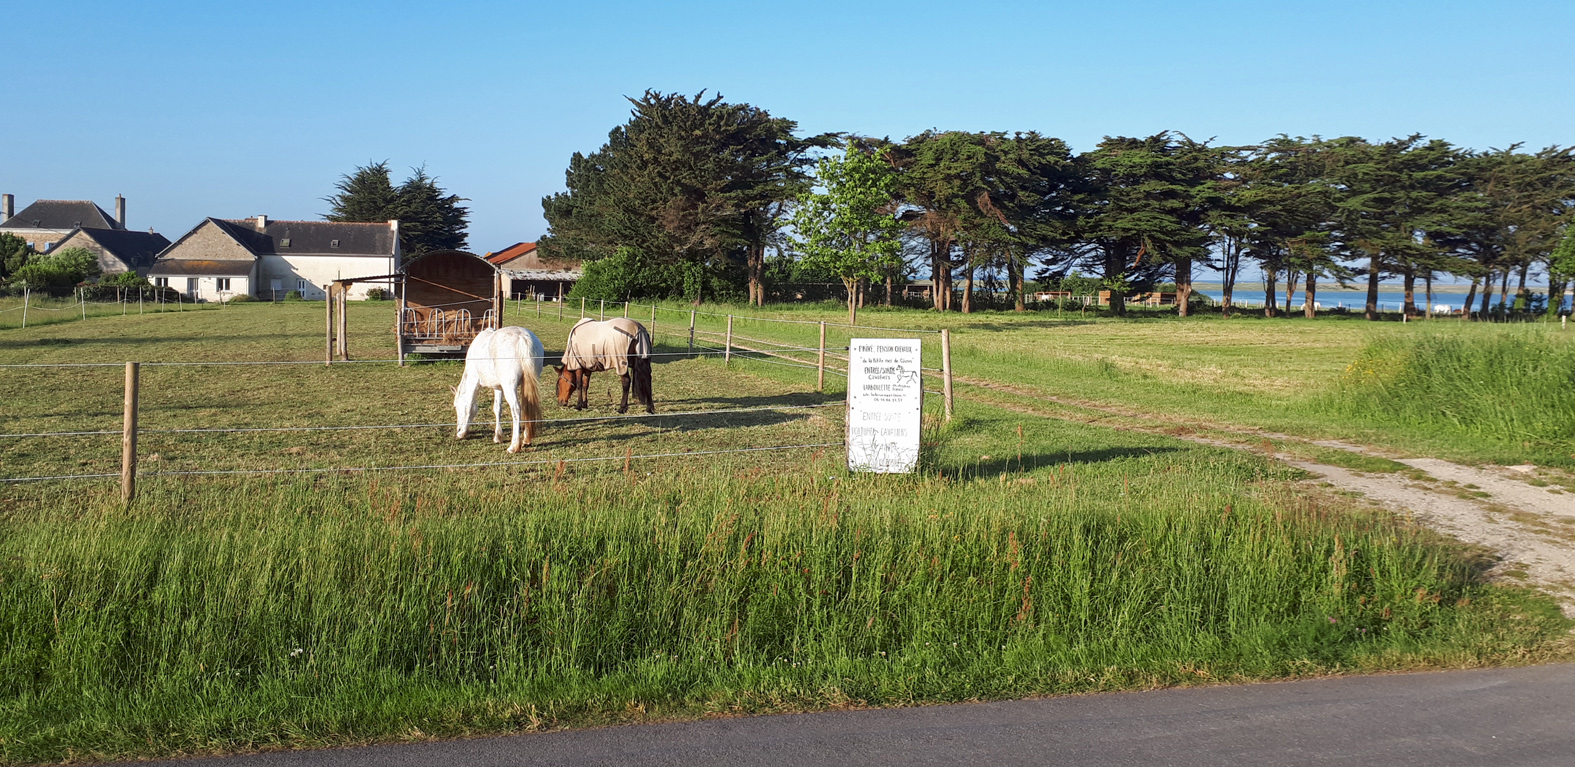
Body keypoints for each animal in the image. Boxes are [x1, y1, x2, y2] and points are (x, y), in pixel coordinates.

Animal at [456, 326, 548, 456]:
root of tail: (522, 337)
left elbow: (469, 406)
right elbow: (497, 408)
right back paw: (526, 439)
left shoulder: (473, 381)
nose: (458, 428)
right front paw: (498, 437)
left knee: (516, 409)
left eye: (456, 407)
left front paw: (462, 433)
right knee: (528, 407)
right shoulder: (498, 388)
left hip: (509, 386)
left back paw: (514, 446)